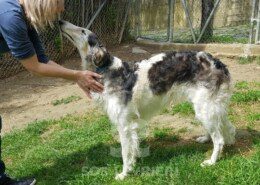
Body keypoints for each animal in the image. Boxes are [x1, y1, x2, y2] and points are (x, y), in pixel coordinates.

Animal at [58, 20, 236, 181]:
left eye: (82, 31)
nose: (60, 21)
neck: (106, 69)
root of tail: (218, 63)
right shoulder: (132, 124)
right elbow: (133, 149)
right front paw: (132, 165)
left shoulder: (124, 125)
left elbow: (125, 152)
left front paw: (124, 174)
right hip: (211, 107)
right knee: (227, 128)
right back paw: (207, 138)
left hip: (204, 108)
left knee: (219, 139)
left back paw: (211, 161)